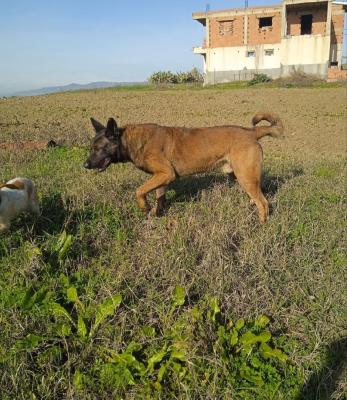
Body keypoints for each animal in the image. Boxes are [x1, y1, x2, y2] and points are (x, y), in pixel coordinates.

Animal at [84, 114, 282, 223]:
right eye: (91, 148)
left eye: (98, 148)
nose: (85, 165)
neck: (129, 140)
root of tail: (251, 132)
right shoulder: (161, 178)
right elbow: (159, 197)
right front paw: (156, 213)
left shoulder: (166, 174)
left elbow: (139, 191)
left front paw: (145, 207)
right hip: (242, 177)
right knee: (258, 196)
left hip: (245, 176)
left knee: (264, 203)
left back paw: (261, 225)